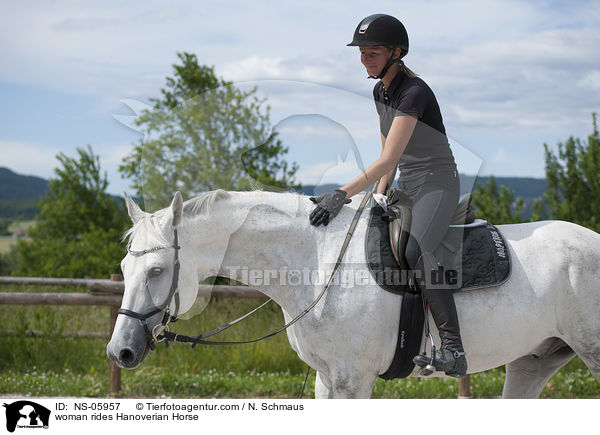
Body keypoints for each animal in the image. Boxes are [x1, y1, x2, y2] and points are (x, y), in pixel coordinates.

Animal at [106, 190, 600, 398]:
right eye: (124, 269)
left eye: (156, 270)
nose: (120, 351)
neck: (315, 260)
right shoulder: (328, 380)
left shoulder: (353, 380)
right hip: (534, 361)